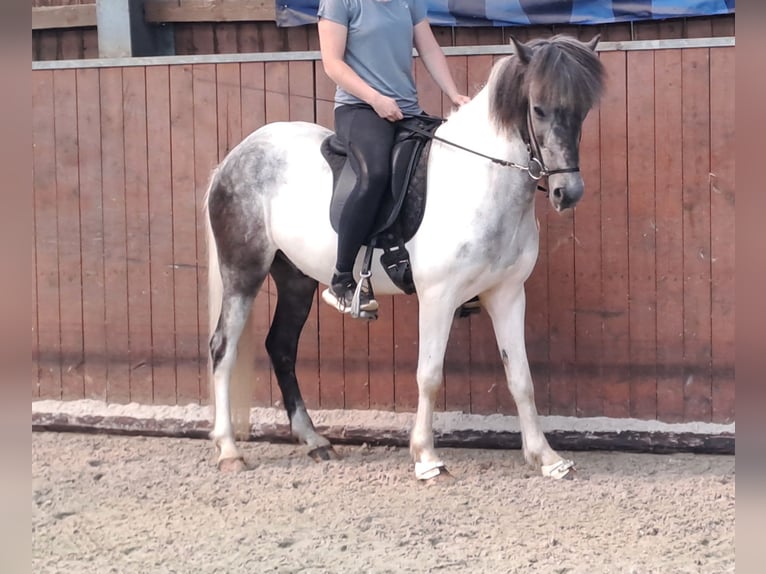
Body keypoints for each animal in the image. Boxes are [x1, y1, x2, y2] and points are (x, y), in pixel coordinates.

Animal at [204, 36, 608, 484]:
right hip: (243, 271)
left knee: (281, 347)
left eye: (583, 109)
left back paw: (314, 441)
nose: (567, 192)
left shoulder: (506, 294)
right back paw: (228, 450)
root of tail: (235, 157)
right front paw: (427, 458)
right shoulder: (438, 297)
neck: (481, 180)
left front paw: (547, 457)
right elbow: (429, 376)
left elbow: (521, 377)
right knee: (223, 348)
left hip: (295, 279)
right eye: (538, 108)